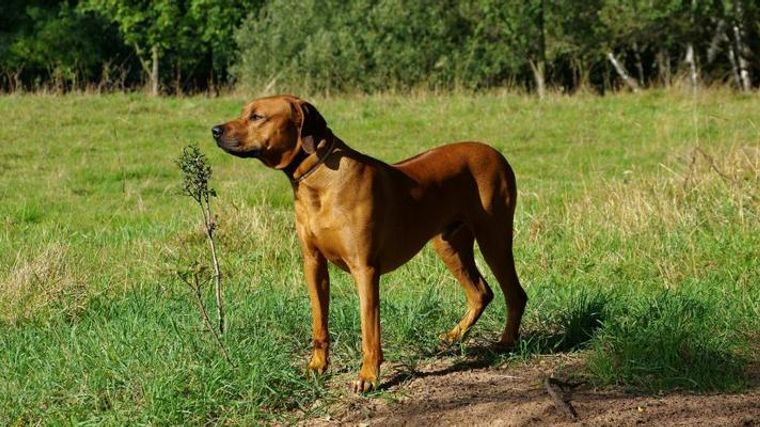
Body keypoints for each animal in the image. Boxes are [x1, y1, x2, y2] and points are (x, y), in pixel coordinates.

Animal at [211, 95, 524, 392]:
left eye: (257, 116)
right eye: (244, 112)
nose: (215, 130)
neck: (319, 179)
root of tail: (494, 152)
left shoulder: (365, 270)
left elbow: (369, 329)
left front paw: (369, 376)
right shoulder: (313, 263)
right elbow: (319, 322)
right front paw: (317, 366)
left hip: (493, 236)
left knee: (515, 293)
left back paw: (506, 341)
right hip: (448, 244)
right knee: (481, 292)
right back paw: (453, 336)